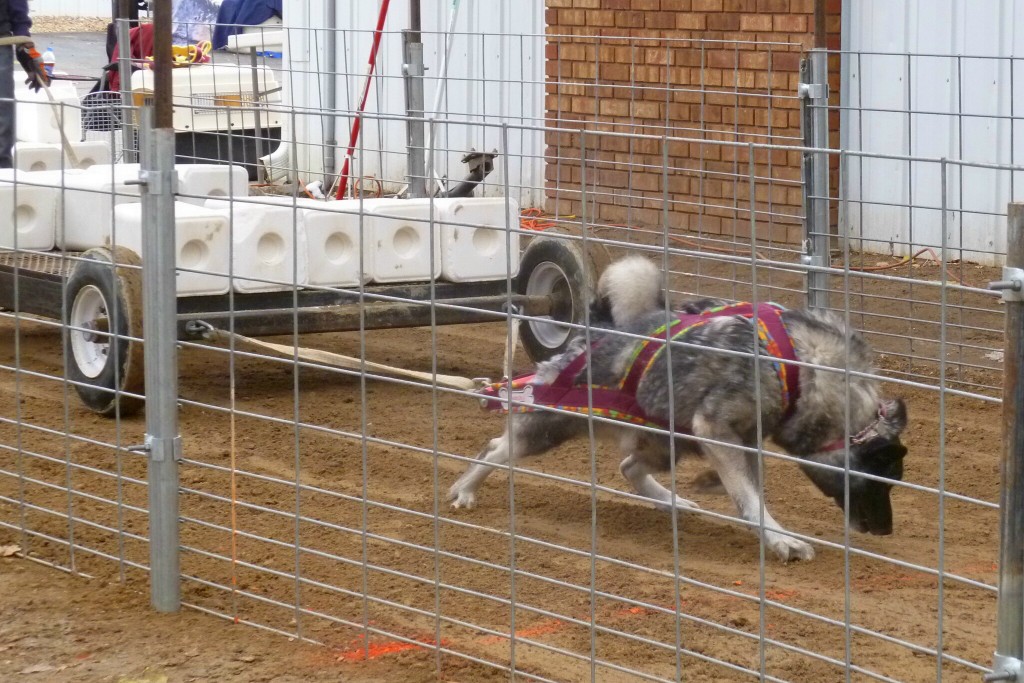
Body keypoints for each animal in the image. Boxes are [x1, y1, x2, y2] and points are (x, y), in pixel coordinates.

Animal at [452, 255, 909, 561]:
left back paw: (669, 501)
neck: (801, 368)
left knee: (629, 467)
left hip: (668, 443)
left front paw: (717, 488)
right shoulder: (715, 429)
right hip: (552, 425)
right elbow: (749, 496)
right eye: (879, 481)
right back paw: (465, 489)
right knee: (496, 448)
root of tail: (595, 329)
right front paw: (779, 538)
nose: (887, 531)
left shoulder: (741, 438)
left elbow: (748, 485)